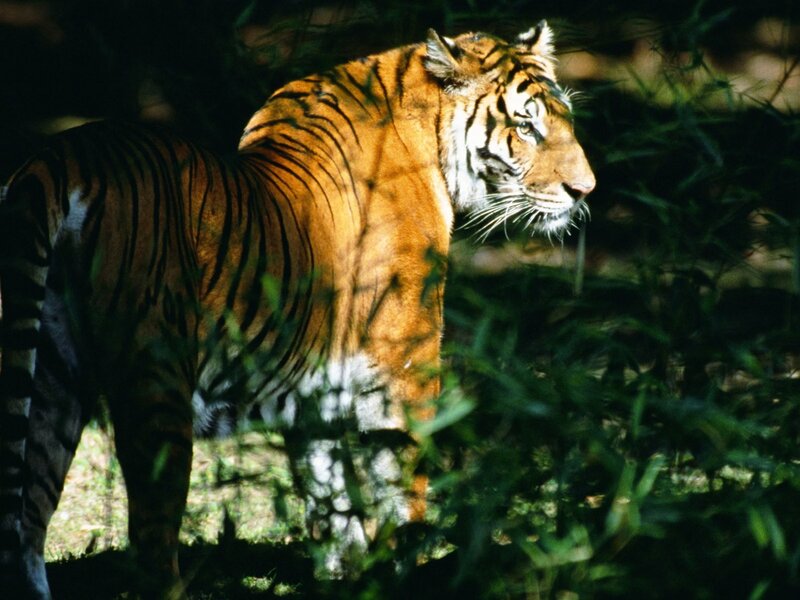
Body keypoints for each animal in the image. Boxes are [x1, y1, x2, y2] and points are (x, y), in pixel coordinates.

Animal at [0, 22, 594, 598]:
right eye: (526, 126)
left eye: (564, 119)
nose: (584, 190)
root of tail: (60, 157)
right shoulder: (405, 364)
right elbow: (403, 491)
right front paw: (408, 572)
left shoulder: (316, 393)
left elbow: (332, 507)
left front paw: (347, 579)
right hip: (156, 385)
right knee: (149, 544)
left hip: (50, 378)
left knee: (26, 524)